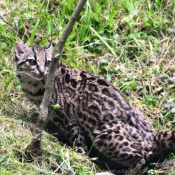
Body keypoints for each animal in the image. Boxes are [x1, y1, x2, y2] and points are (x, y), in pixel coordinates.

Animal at [14, 42, 175, 174]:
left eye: (48, 62)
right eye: (32, 61)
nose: (42, 71)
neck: (34, 87)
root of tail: (153, 135)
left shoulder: (68, 119)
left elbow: (78, 142)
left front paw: (81, 158)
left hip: (104, 137)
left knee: (141, 157)